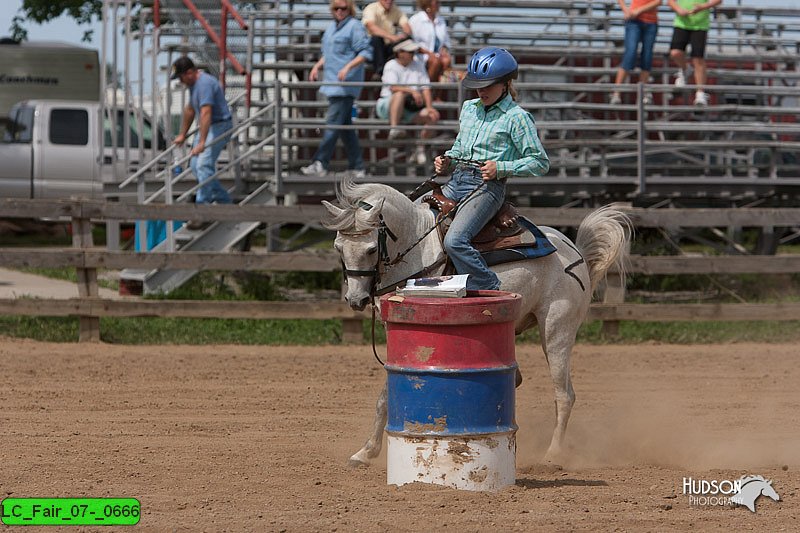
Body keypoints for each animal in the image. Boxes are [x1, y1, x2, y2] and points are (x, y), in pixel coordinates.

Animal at [324, 177, 632, 464]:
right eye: (339, 247)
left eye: (370, 249)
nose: (356, 299)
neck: (417, 248)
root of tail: (574, 251)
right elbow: (383, 398)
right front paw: (365, 452)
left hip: (557, 330)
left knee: (565, 395)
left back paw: (553, 455)